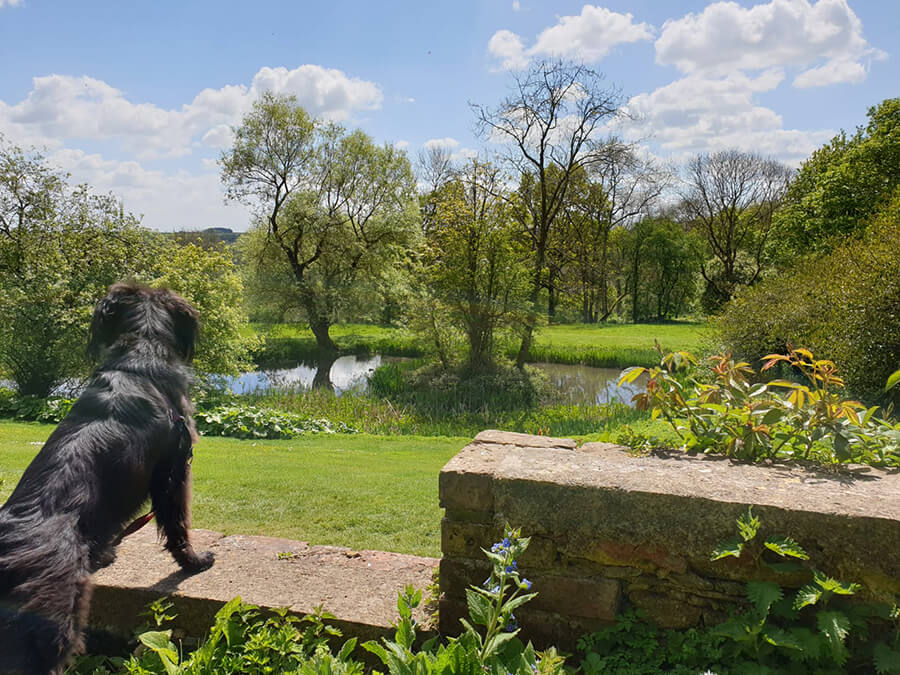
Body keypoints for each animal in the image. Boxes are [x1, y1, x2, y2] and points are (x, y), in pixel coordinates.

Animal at [0, 282, 214, 672]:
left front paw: (104, 554)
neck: (139, 363)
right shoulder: (174, 469)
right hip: (50, 627)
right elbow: (178, 523)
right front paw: (194, 562)